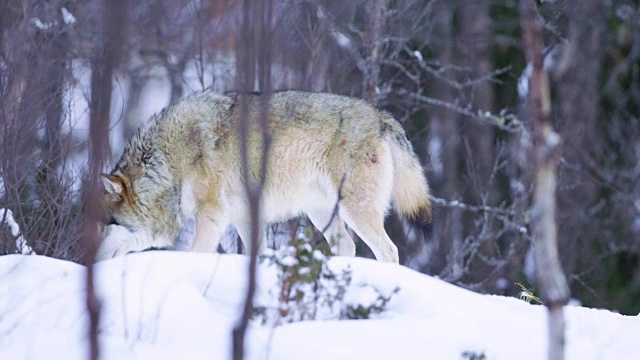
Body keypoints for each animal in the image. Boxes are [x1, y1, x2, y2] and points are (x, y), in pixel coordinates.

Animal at [100, 89, 430, 264]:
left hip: (355, 210)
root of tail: (381, 117)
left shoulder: (212, 215)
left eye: (110, 224)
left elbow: (196, 252)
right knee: (346, 247)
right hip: (322, 213)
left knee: (388, 250)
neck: (170, 161)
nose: (95, 257)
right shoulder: (244, 218)